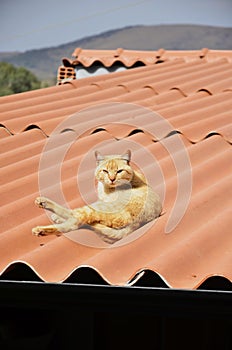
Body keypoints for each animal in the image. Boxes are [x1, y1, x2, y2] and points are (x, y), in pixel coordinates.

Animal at [32, 150, 162, 243]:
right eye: (105, 171)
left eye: (119, 171)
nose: (112, 178)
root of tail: (138, 223)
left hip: (97, 207)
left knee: (74, 220)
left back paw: (41, 220)